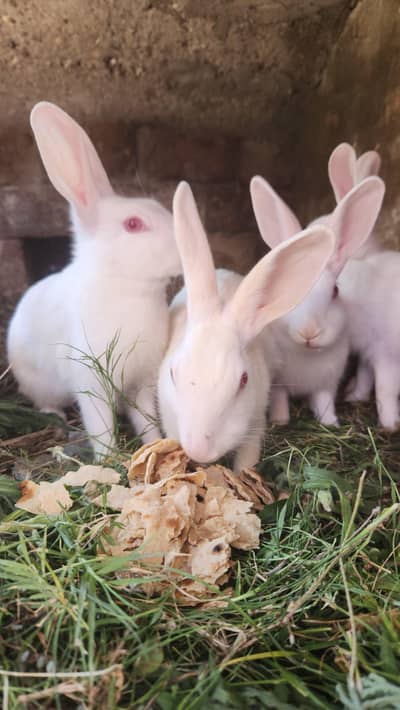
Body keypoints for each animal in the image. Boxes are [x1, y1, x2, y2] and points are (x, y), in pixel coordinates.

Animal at [7, 102, 182, 458]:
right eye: (133, 224)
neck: (128, 290)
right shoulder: (92, 382)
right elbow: (99, 424)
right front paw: (109, 458)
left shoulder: (141, 382)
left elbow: (146, 418)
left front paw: (154, 443)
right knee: (46, 401)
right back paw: (56, 415)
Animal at [250, 174, 385, 427]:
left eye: (335, 291)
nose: (309, 332)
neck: (307, 354)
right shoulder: (279, 384)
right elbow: (280, 400)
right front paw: (280, 421)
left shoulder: (326, 384)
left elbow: (324, 403)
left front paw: (330, 422)